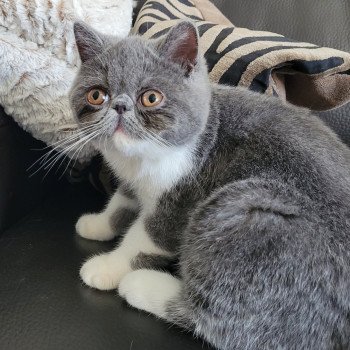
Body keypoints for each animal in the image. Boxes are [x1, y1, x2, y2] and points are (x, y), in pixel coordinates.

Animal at [69, 21, 350, 350]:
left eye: (151, 98)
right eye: (96, 95)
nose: (120, 106)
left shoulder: (186, 194)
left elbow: (148, 236)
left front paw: (109, 266)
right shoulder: (134, 180)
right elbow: (123, 199)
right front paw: (99, 223)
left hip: (244, 211)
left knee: (222, 322)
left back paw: (141, 285)